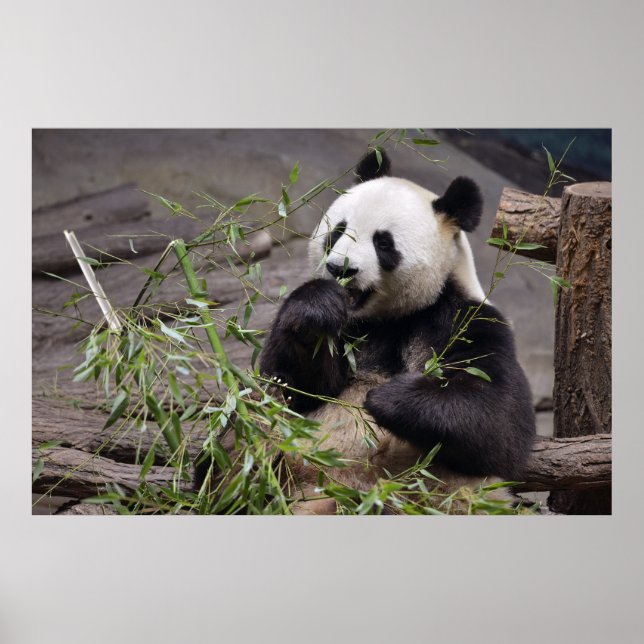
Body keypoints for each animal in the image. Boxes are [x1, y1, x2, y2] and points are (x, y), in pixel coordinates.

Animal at [259, 149, 536, 513]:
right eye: (339, 231)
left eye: (383, 243)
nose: (340, 269)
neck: (386, 318)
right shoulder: (349, 330)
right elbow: (298, 388)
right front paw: (315, 309)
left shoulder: (464, 319)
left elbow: (499, 421)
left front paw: (383, 397)